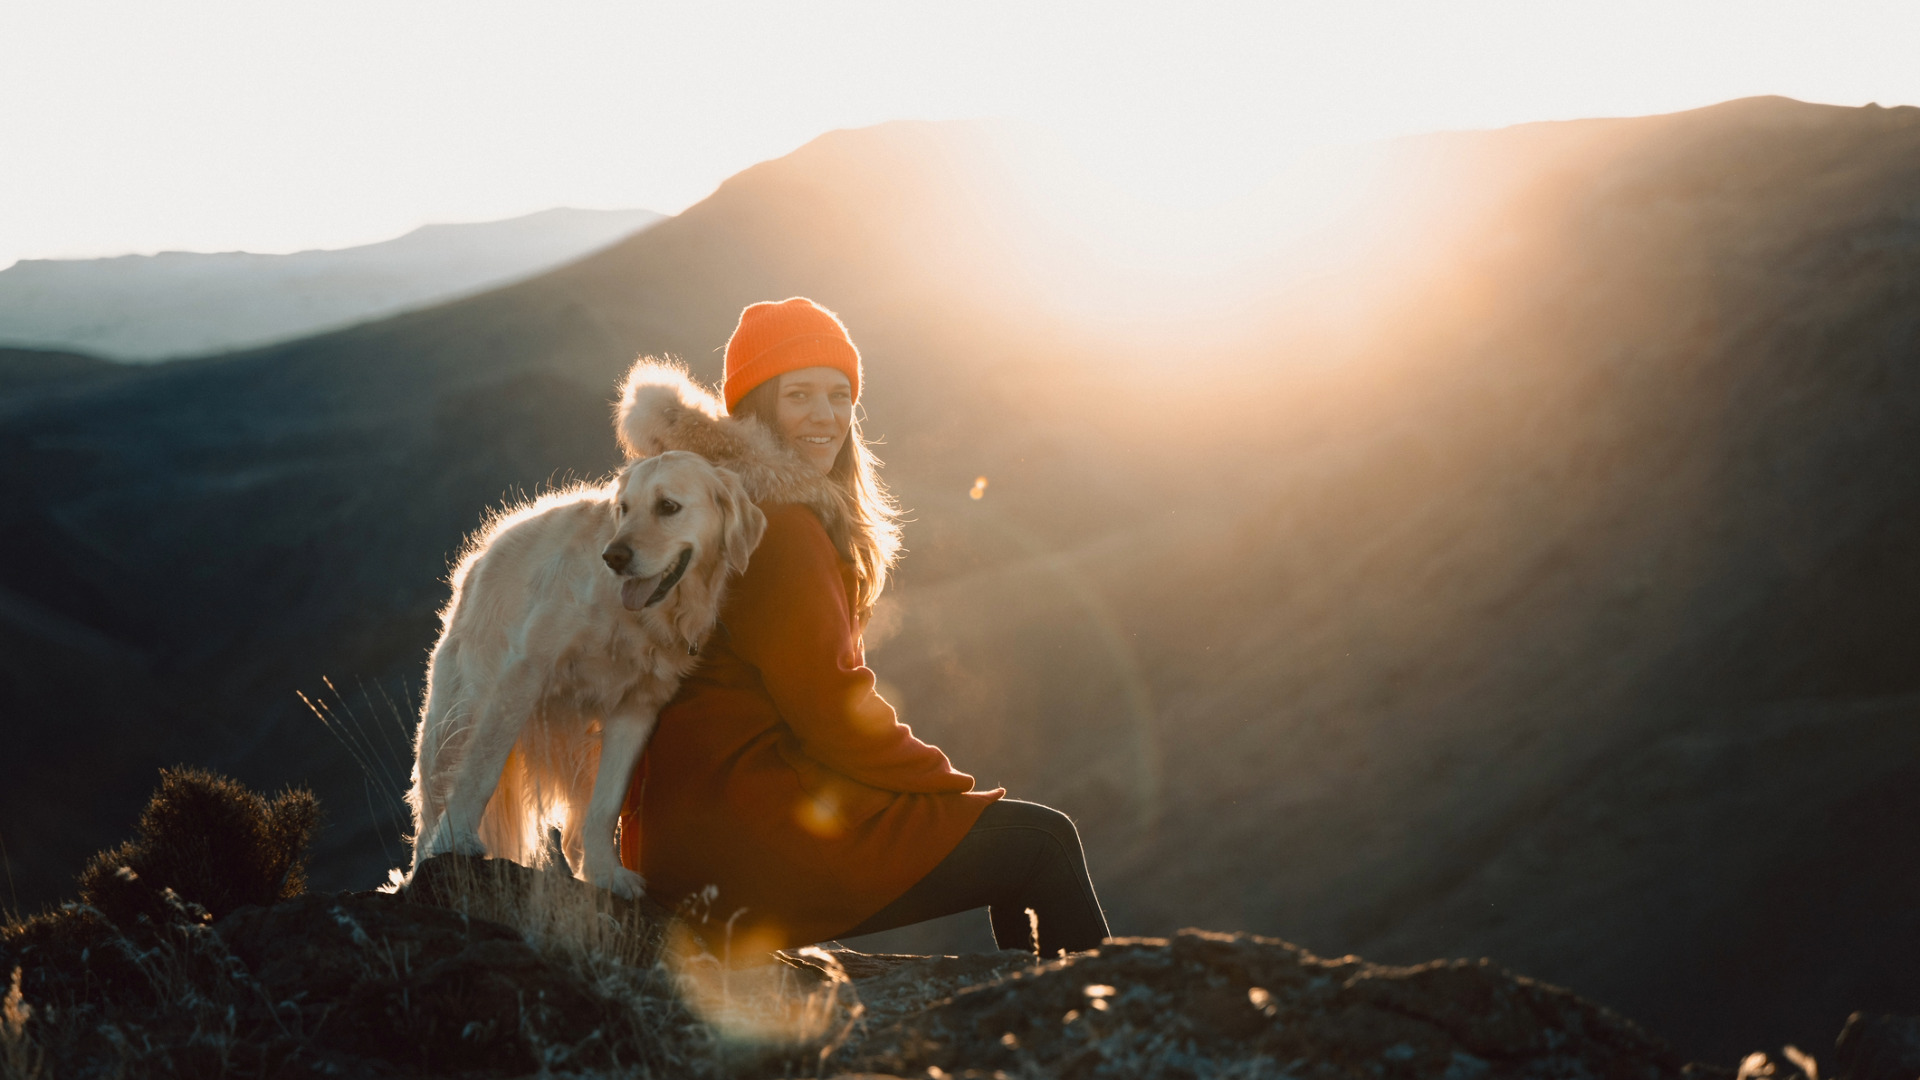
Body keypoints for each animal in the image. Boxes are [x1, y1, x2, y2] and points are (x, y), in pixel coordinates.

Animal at [410, 447, 764, 891]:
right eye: (623, 508)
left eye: (668, 507)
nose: (614, 557)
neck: (633, 617)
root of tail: (480, 556)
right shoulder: (525, 672)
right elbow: (482, 769)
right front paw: (458, 837)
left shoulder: (637, 709)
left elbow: (605, 806)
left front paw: (607, 873)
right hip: (453, 721)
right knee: (432, 803)